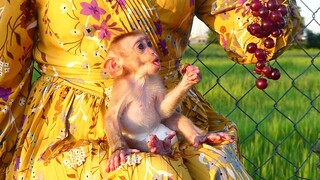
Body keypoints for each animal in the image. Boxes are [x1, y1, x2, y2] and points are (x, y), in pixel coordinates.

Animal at [104, 30, 234, 172]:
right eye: (141, 46)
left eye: (149, 43)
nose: (153, 52)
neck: (141, 78)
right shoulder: (122, 88)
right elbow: (112, 117)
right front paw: (119, 151)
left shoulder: (155, 80)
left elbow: (162, 110)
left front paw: (189, 79)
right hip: (135, 139)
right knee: (137, 143)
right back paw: (160, 148)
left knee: (176, 119)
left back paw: (200, 137)